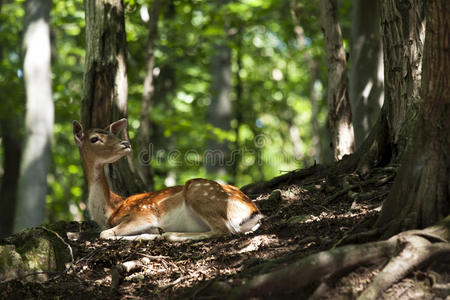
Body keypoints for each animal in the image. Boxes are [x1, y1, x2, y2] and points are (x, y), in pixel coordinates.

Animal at [71, 119, 260, 241]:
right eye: (94, 138)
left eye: (113, 135)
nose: (125, 143)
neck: (110, 209)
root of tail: (255, 213)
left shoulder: (143, 215)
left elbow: (104, 233)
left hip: (198, 191)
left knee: (224, 230)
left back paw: (167, 234)